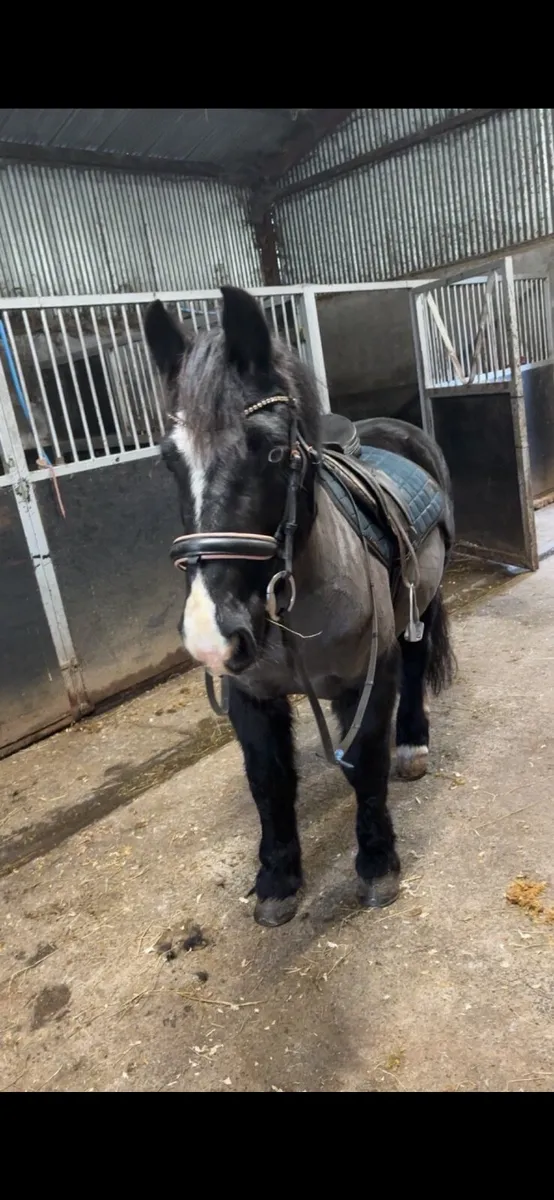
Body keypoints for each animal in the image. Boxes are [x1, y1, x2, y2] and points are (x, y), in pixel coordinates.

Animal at [144, 286, 456, 928]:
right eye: (169, 459)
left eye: (271, 452)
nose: (211, 635)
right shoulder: (252, 695)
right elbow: (269, 781)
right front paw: (277, 879)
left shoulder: (366, 678)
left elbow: (365, 764)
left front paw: (377, 862)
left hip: (421, 605)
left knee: (415, 668)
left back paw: (412, 742)